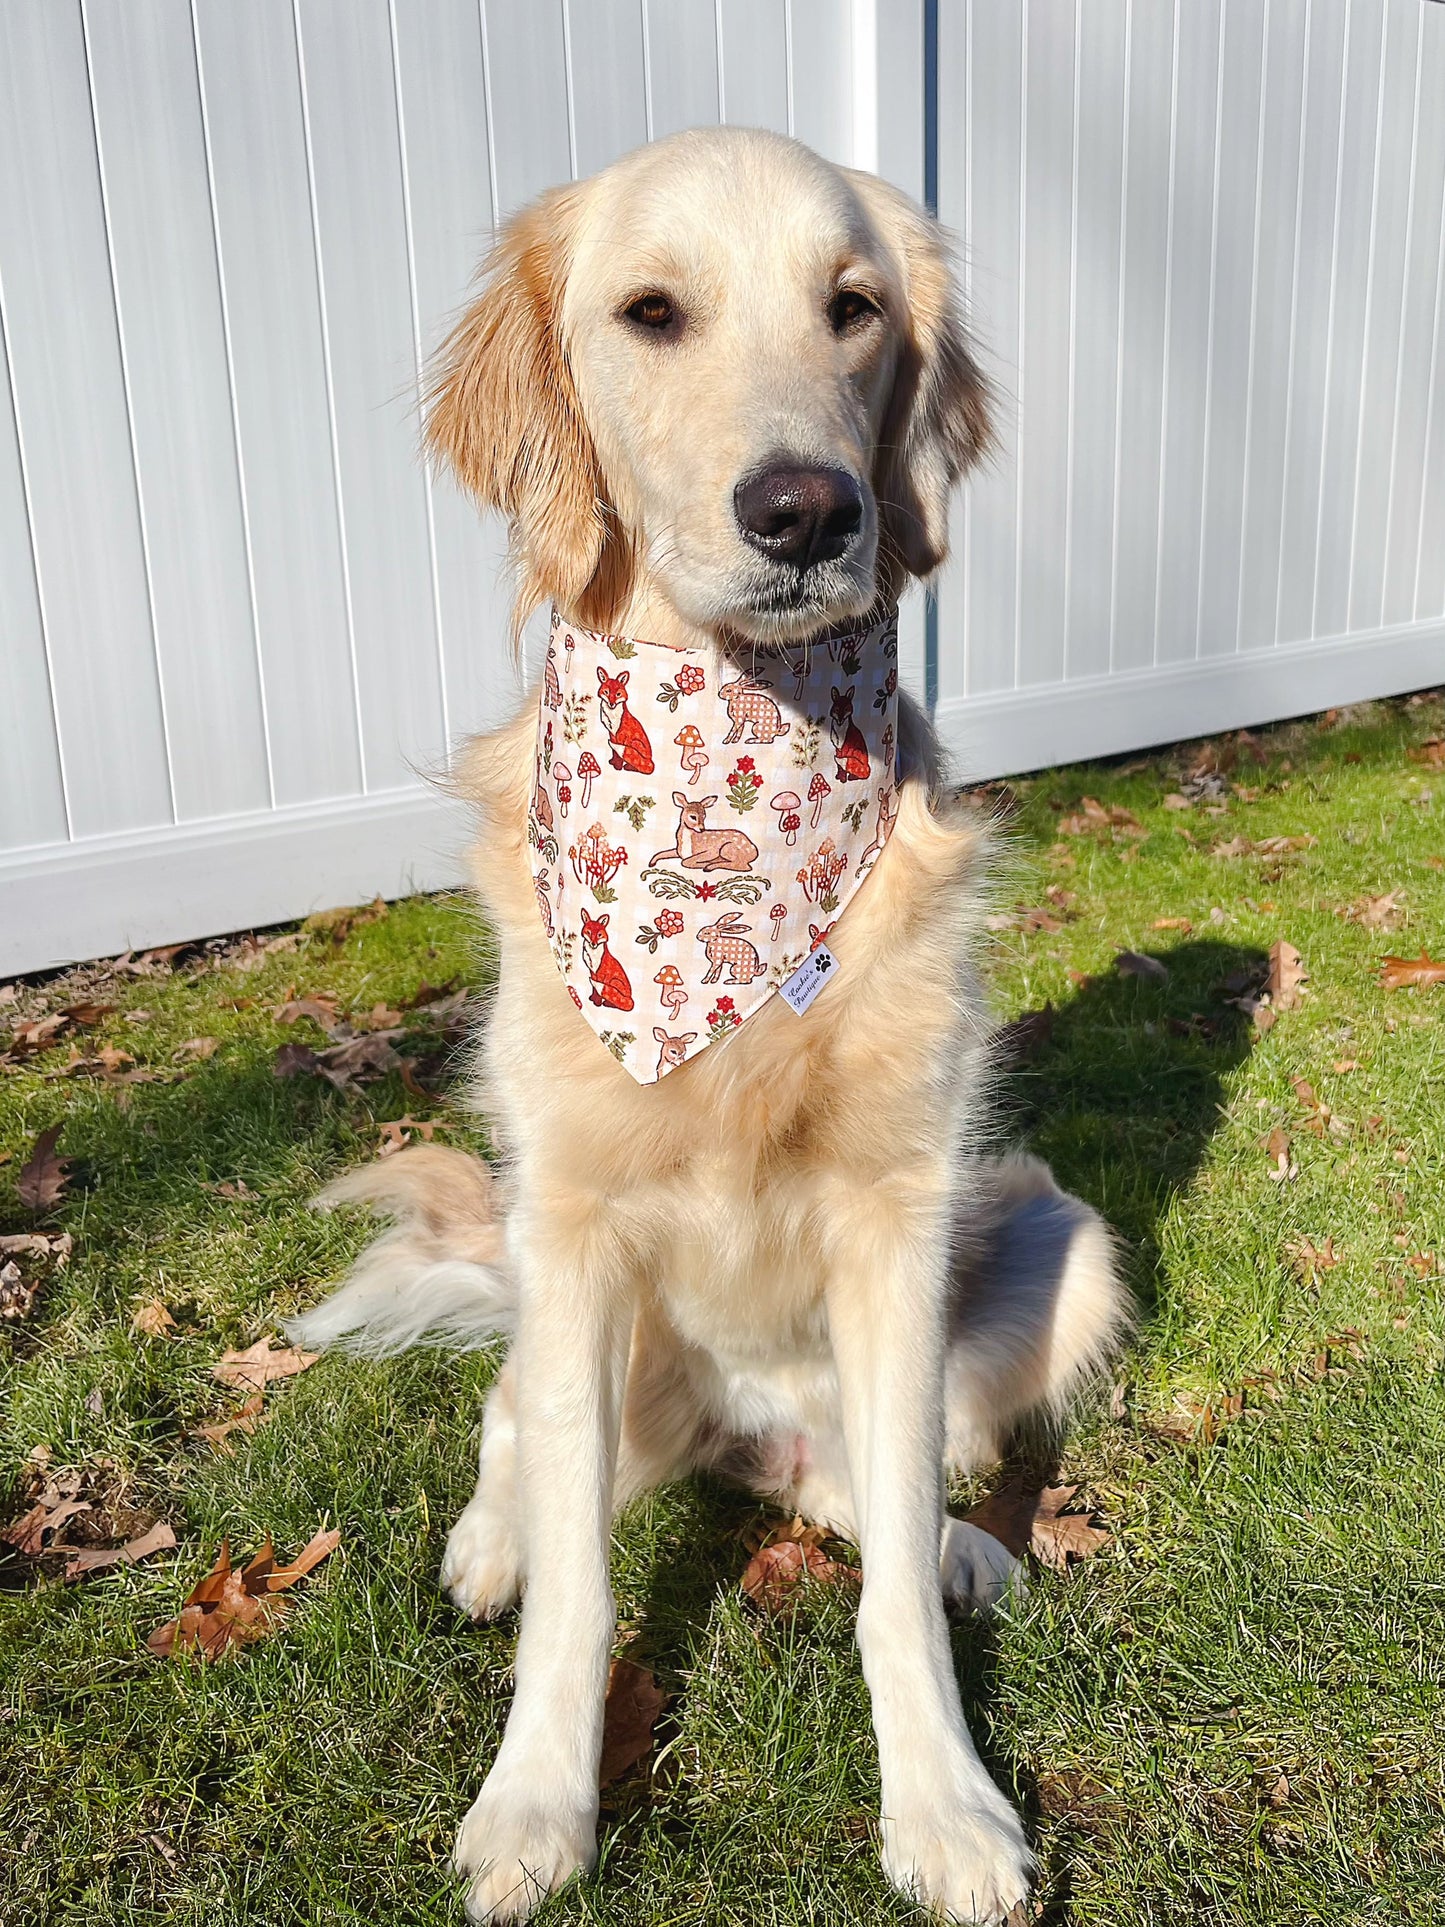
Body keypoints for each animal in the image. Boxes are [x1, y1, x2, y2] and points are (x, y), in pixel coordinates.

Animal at [290, 128, 1132, 1919]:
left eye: (855, 307)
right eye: (651, 311)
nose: (809, 507)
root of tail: (738, 1430)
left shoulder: (898, 1219)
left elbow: (885, 1594)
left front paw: (946, 1803)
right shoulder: (572, 1219)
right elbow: (578, 1593)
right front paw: (535, 1801)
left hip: (1055, 1244)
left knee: (870, 1497)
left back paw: (957, 1543)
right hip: (581, 1316)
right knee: (518, 1431)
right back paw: (492, 1536)